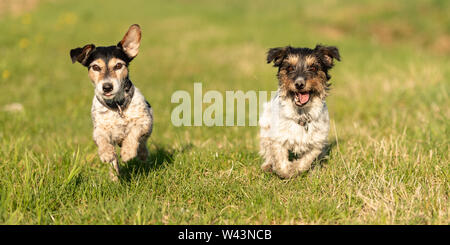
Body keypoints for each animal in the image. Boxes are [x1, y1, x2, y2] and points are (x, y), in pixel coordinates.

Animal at [70, 24, 153, 181]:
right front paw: (106, 153)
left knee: (143, 143)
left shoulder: (144, 121)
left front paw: (127, 152)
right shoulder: (99, 129)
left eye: (118, 66)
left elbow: (134, 131)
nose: (107, 87)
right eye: (96, 67)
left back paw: (141, 153)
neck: (117, 106)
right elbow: (102, 139)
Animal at [258, 44, 340, 178]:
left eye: (313, 67)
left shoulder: (317, 142)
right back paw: (268, 165)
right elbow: (280, 162)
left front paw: (295, 168)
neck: (302, 114)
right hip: (265, 127)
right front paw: (287, 171)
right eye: (290, 67)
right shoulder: (278, 138)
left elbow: (306, 160)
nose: (299, 84)